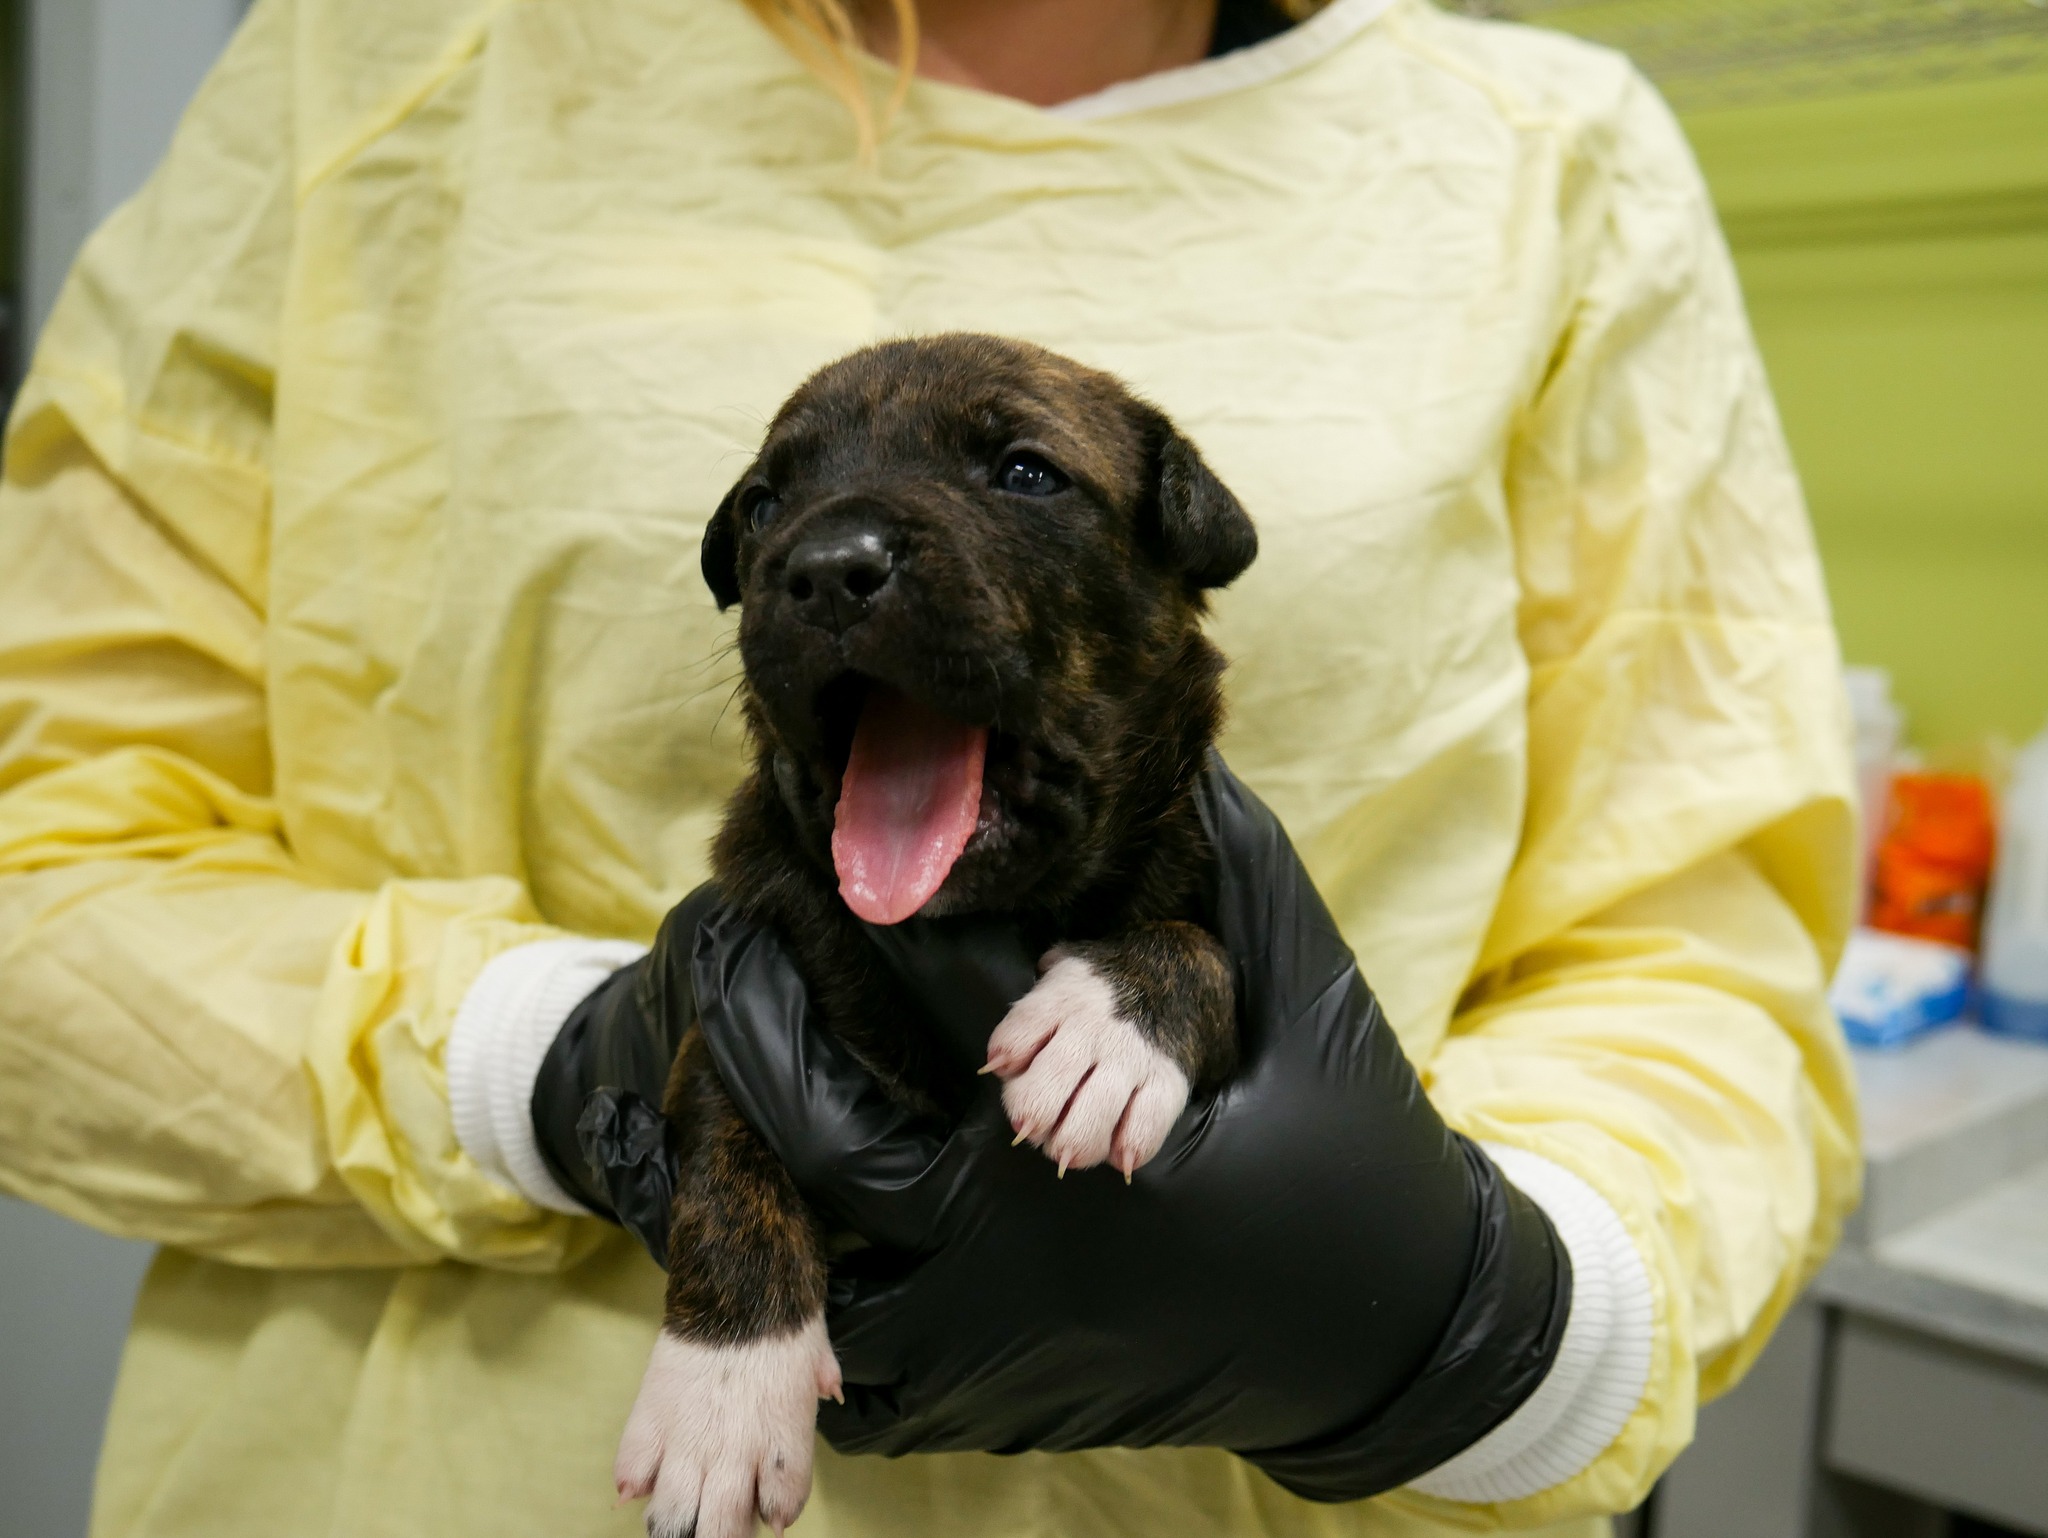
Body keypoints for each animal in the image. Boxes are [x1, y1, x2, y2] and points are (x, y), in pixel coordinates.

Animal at [610, 335, 1245, 1538]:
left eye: (1026, 473)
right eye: (764, 505)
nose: (823, 567)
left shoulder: (1205, 859)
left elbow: (1200, 945)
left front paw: (1108, 1028)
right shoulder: (743, 989)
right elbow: (731, 1161)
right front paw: (720, 1400)